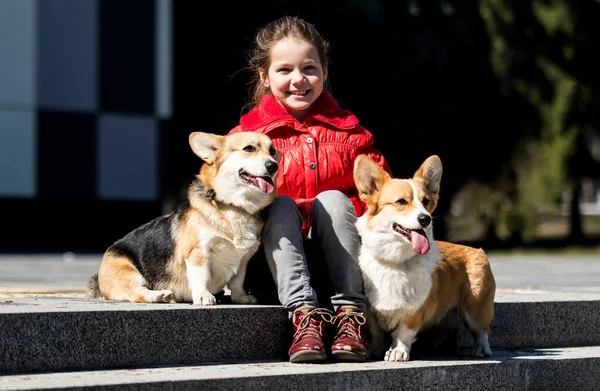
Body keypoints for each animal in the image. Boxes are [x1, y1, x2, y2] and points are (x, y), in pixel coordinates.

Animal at [88, 132, 280, 306]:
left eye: (272, 151)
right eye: (249, 148)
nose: (273, 166)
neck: (234, 206)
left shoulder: (243, 258)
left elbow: (237, 281)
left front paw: (241, 298)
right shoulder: (198, 252)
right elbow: (202, 277)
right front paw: (203, 296)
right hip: (128, 272)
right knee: (137, 292)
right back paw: (159, 295)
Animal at [352, 155, 496, 362]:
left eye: (426, 201)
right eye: (402, 202)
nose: (425, 218)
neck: (397, 260)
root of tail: (476, 250)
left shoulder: (415, 310)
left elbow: (403, 332)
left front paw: (397, 351)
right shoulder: (371, 310)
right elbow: (375, 332)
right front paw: (373, 351)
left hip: (476, 305)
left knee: (482, 331)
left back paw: (481, 349)